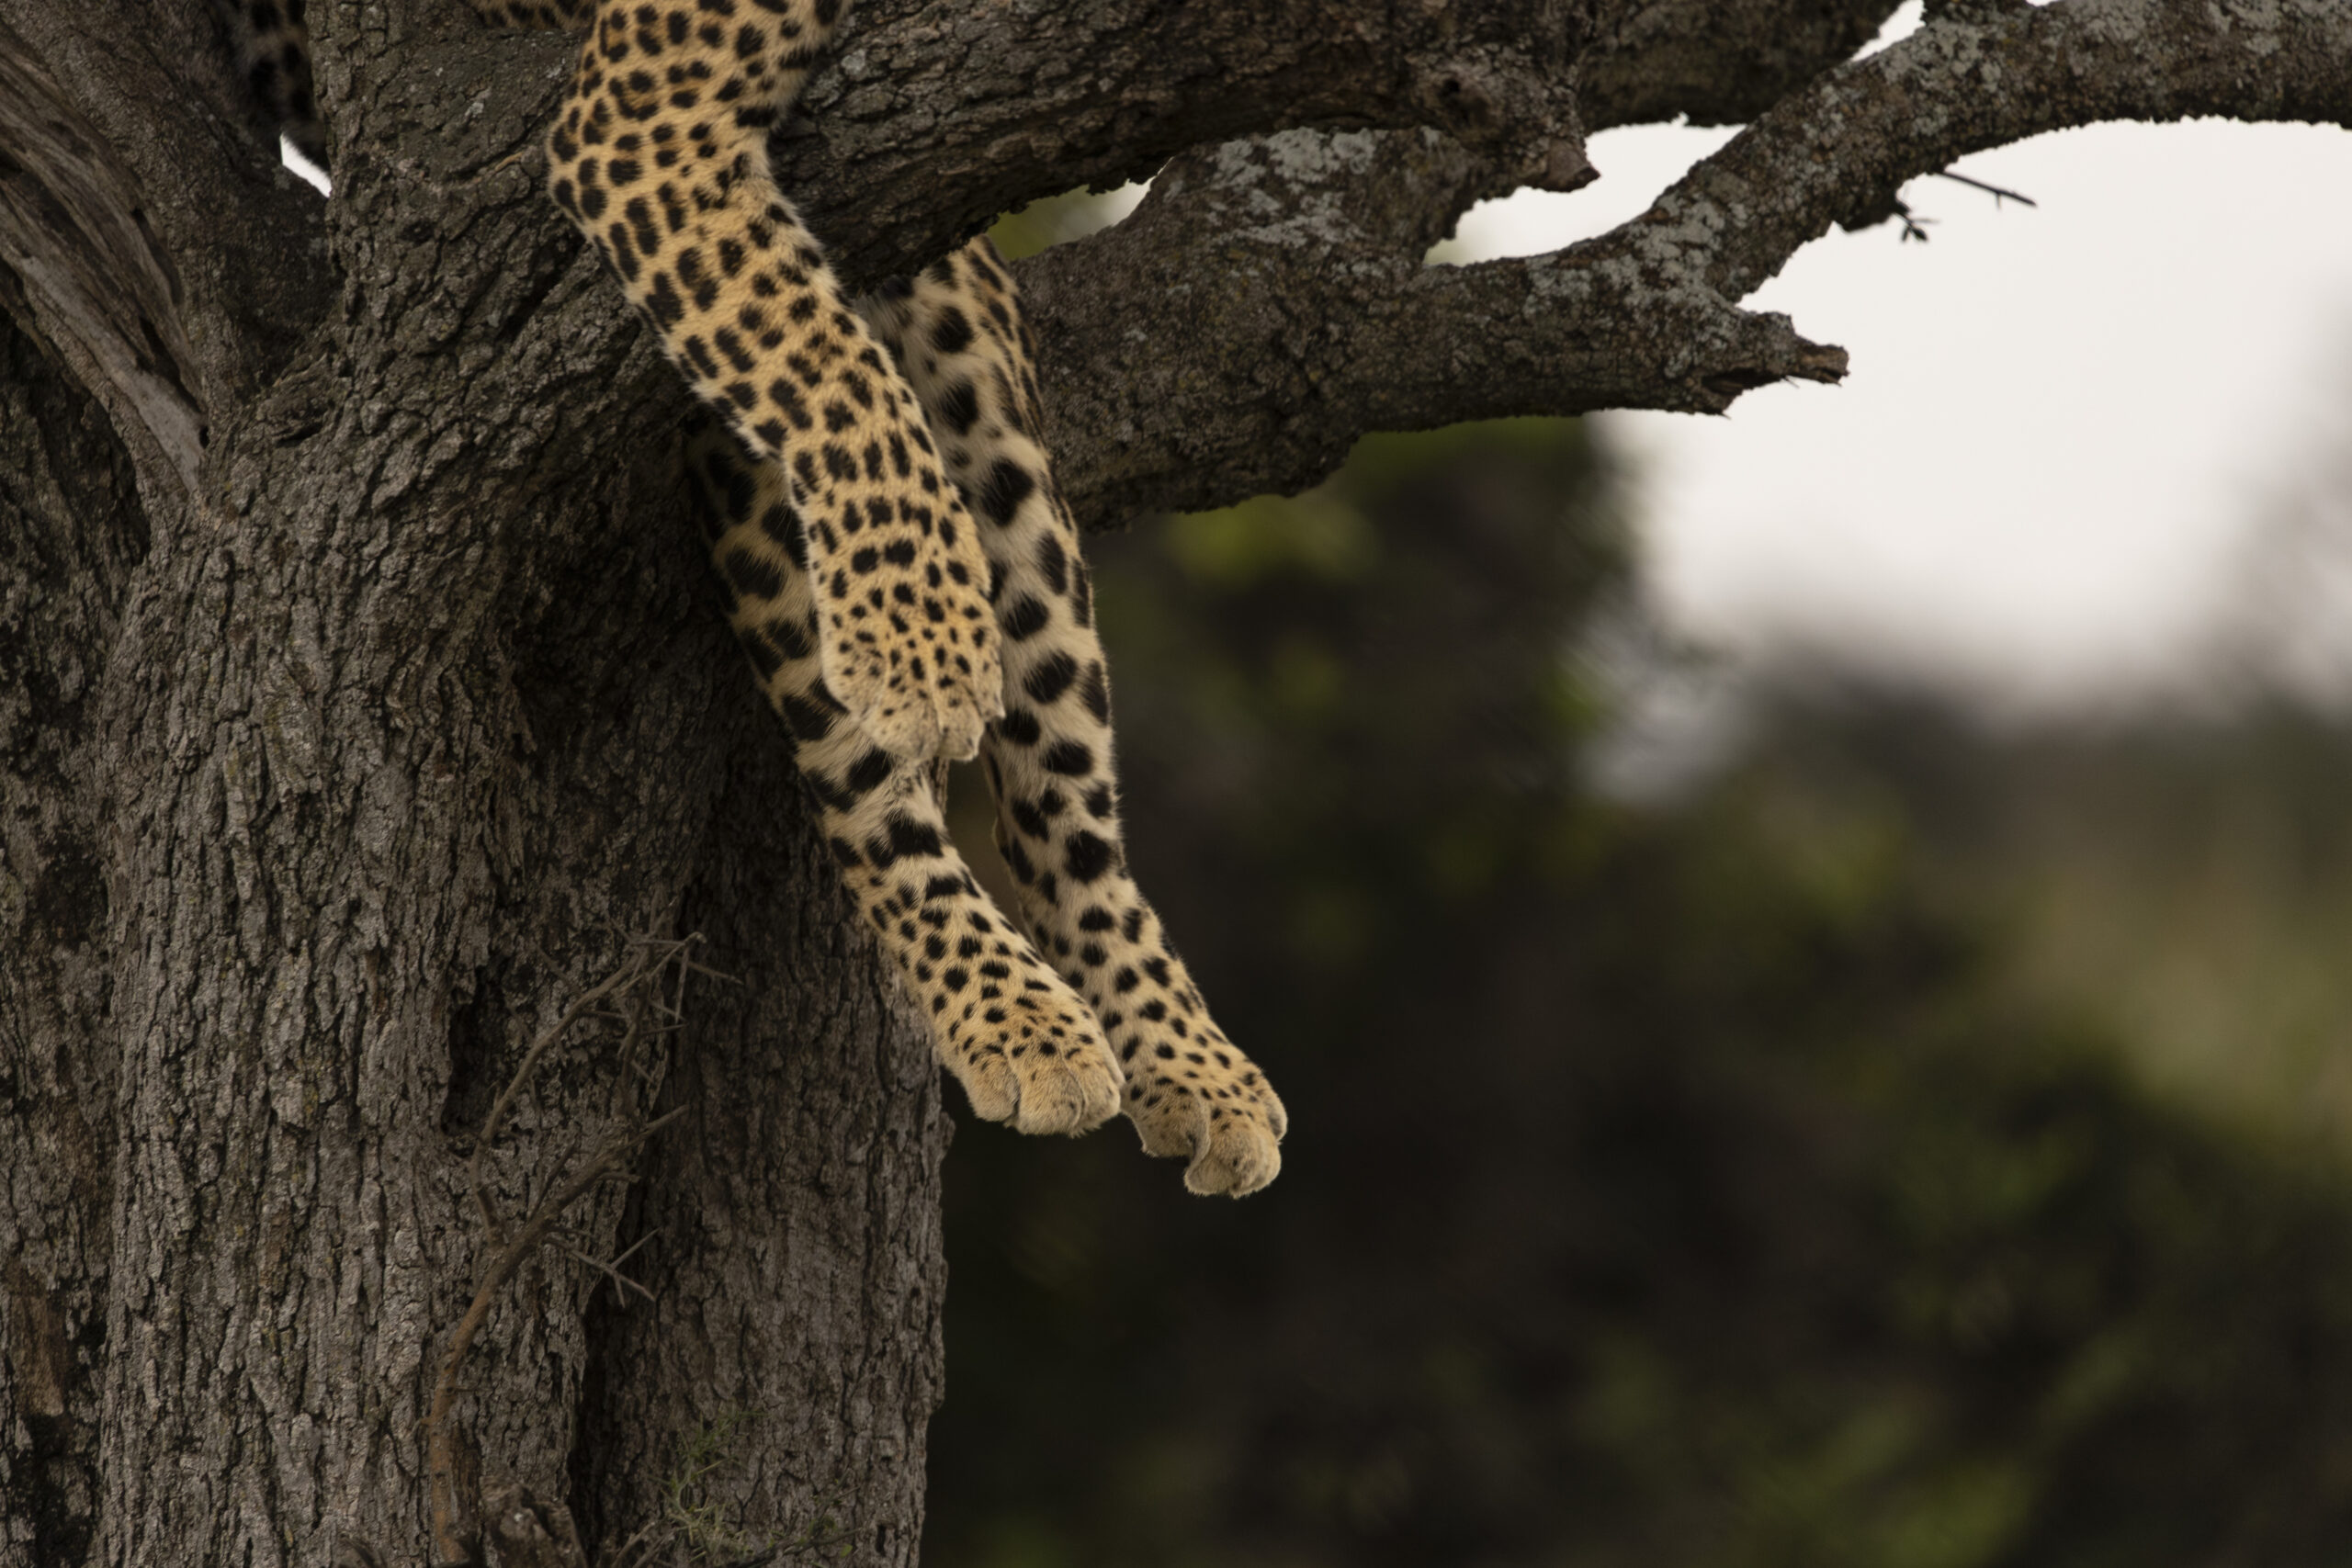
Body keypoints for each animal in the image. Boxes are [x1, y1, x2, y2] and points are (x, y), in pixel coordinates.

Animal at [219, 0, 1288, 1189]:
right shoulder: (641, 126)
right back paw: (1014, 1011)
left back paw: (1182, 1061)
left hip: (970, 359)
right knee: (853, 754)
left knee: (1061, 782)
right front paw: (921, 651)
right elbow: (835, 374)